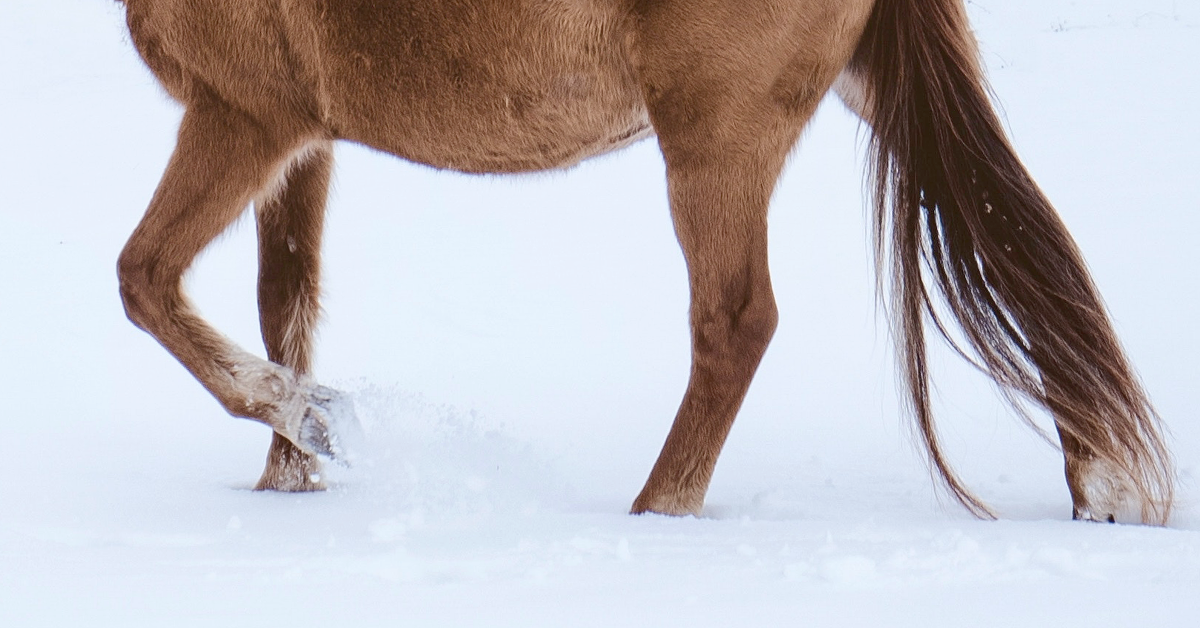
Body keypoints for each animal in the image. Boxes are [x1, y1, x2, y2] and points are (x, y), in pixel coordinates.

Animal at [119, 0, 1171, 525]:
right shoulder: (304, 141)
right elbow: (283, 302)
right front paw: (287, 481)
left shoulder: (243, 114)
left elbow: (144, 282)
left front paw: (315, 421)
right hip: (869, 87)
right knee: (1022, 245)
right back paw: (1106, 491)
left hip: (714, 135)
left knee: (736, 322)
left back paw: (657, 512)